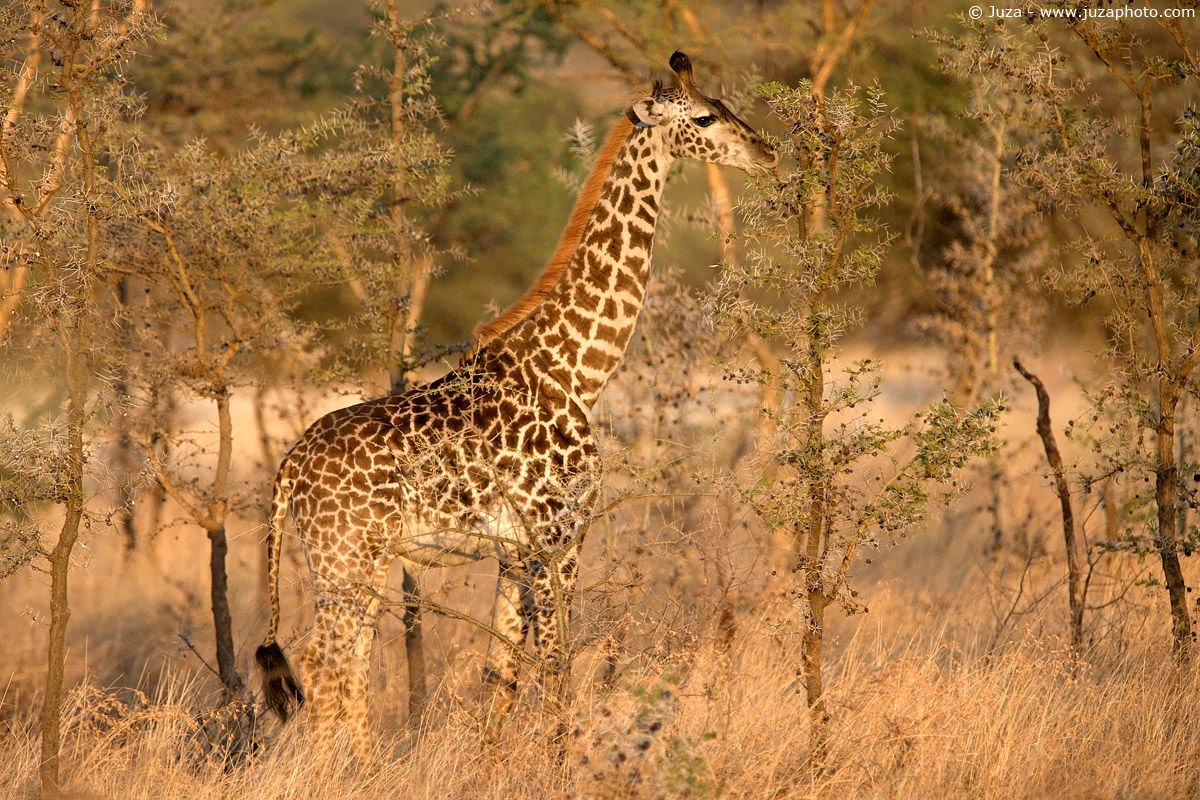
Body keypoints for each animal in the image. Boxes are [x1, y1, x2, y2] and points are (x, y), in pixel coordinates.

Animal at [255, 51, 777, 761]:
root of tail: (287, 470)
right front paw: (562, 766)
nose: (769, 152)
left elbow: (498, 672)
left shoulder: (514, 549)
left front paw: (490, 767)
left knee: (346, 666)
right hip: (347, 559)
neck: (577, 369)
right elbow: (556, 663)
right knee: (326, 667)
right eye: (703, 119)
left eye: (726, 106)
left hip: (346, 563)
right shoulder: (561, 535)